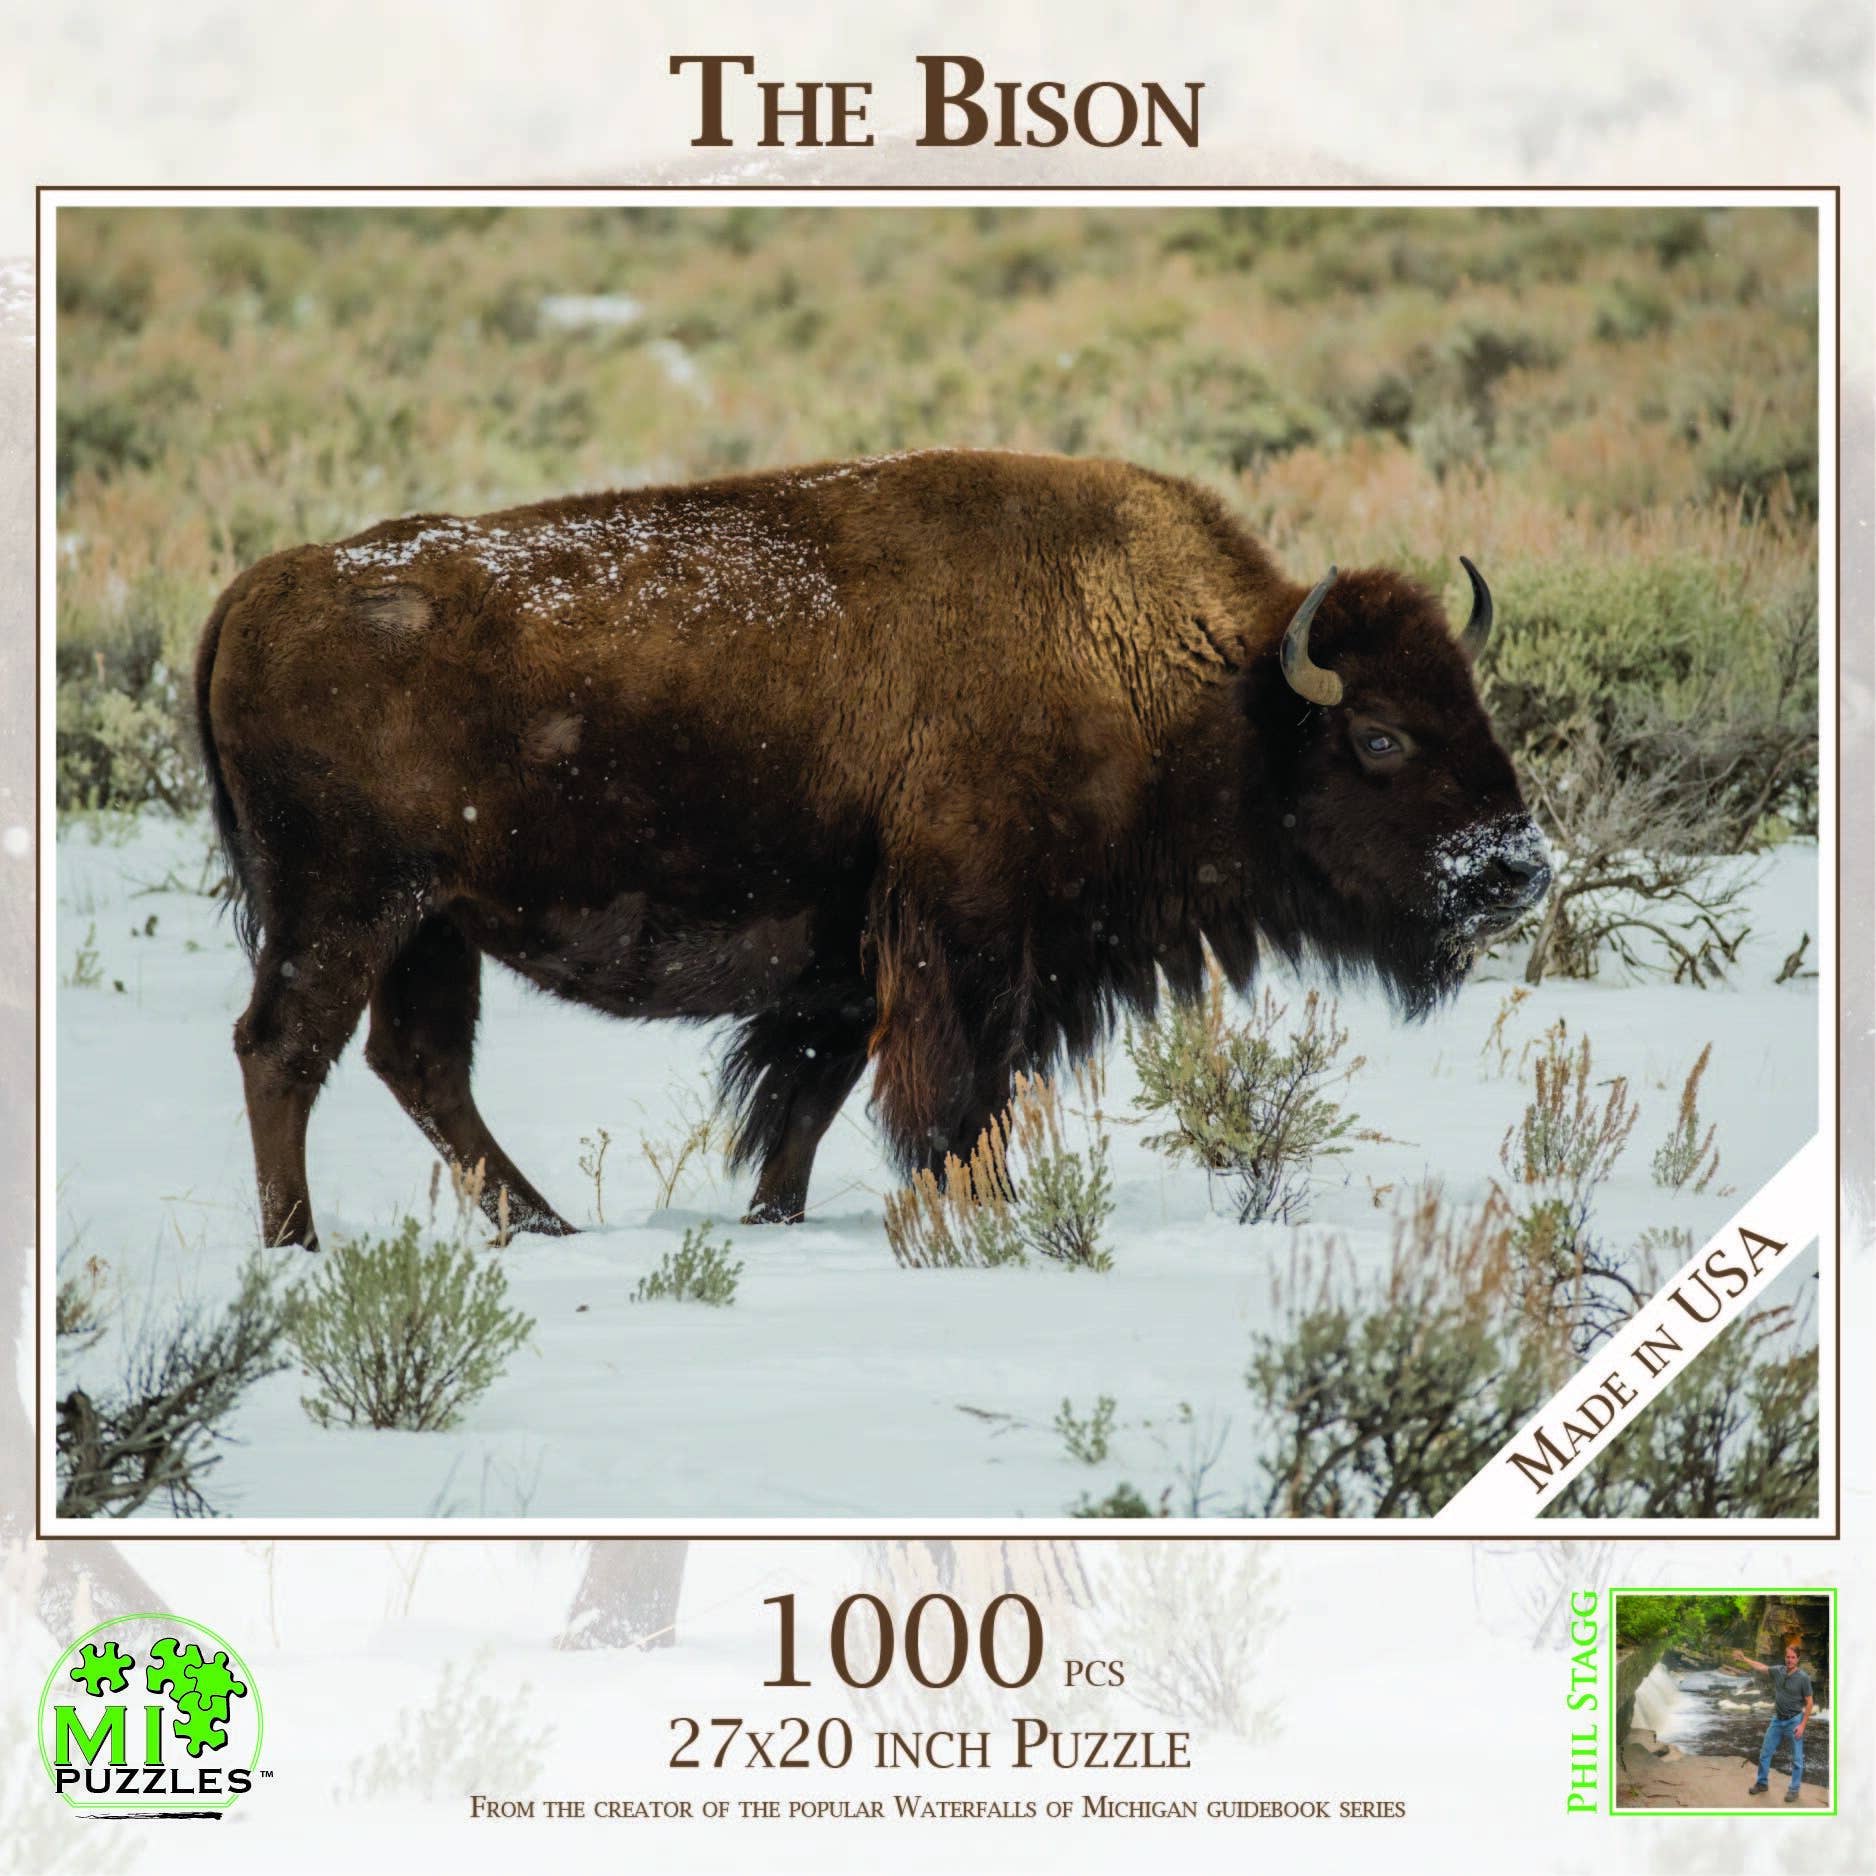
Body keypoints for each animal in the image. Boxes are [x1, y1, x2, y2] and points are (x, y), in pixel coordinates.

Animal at [194, 449, 1549, 1249]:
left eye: (1471, 703)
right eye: (1377, 736)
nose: (1514, 870)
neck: (1198, 686)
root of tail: (263, 587)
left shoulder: (843, 977)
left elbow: (800, 1107)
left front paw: (774, 1222)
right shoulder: (967, 949)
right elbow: (955, 1102)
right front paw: (986, 1214)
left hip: (432, 927)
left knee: (417, 1065)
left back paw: (542, 1228)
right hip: (348, 909)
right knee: (284, 1049)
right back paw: (298, 1245)